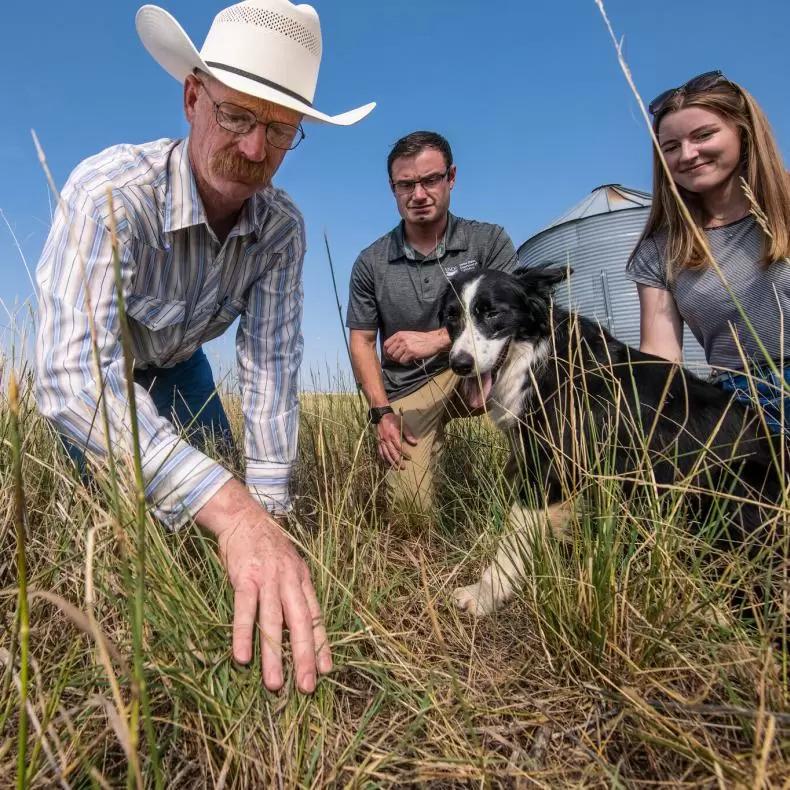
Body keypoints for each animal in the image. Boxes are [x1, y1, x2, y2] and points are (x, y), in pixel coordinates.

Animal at [442, 266, 784, 620]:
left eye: (492, 313)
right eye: (451, 317)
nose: (459, 364)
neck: (540, 358)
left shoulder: (554, 466)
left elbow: (513, 535)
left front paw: (485, 593)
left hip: (732, 482)